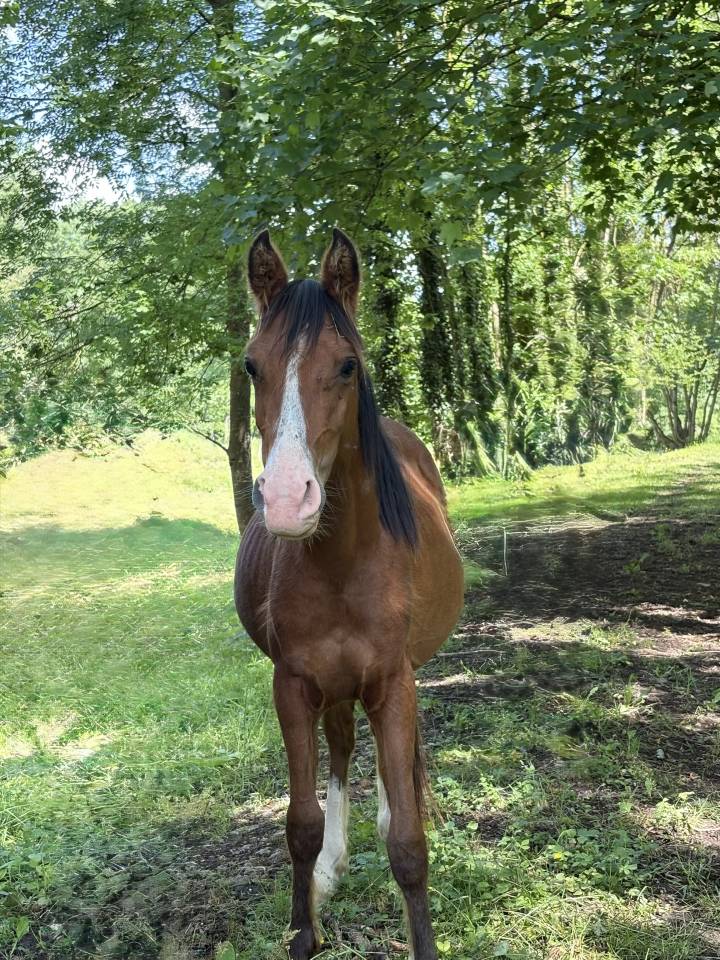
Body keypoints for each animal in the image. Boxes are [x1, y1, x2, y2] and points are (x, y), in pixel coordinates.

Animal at [235, 227, 464, 960]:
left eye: (346, 367)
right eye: (252, 367)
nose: (286, 499)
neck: (341, 563)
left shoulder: (392, 679)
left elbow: (409, 845)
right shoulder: (293, 684)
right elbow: (300, 824)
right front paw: (304, 929)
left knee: (397, 765)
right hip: (332, 686)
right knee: (339, 746)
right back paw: (336, 861)